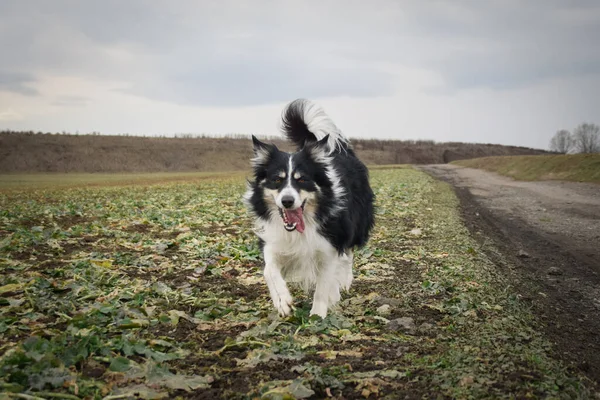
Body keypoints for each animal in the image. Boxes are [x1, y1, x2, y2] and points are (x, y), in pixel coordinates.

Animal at [244, 100, 376, 318]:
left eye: (302, 179)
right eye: (277, 180)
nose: (287, 201)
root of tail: (338, 152)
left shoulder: (329, 244)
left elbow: (323, 284)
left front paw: (317, 315)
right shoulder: (274, 239)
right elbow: (269, 270)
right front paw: (282, 301)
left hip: (355, 225)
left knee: (348, 254)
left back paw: (344, 283)